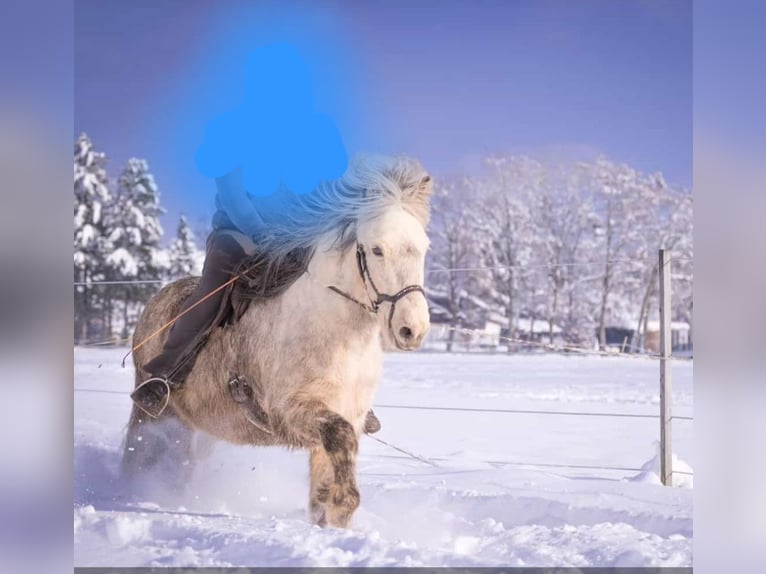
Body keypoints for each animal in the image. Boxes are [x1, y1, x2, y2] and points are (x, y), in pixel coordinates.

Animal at [122, 155, 432, 528]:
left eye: (423, 248)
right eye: (377, 250)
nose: (412, 329)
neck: (338, 334)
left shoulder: (347, 415)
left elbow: (327, 477)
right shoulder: (291, 411)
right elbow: (339, 445)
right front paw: (343, 506)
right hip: (151, 411)